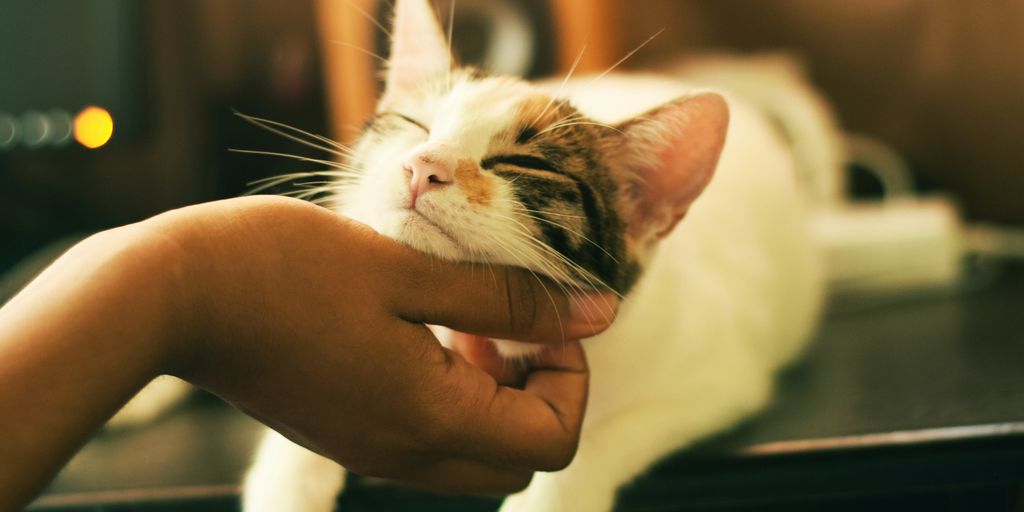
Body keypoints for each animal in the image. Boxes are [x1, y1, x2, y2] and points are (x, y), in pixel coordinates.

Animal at [243, 1, 827, 512]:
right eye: (414, 124)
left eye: (522, 164)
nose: (422, 165)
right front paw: (285, 485)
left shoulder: (720, 380)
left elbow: (596, 443)